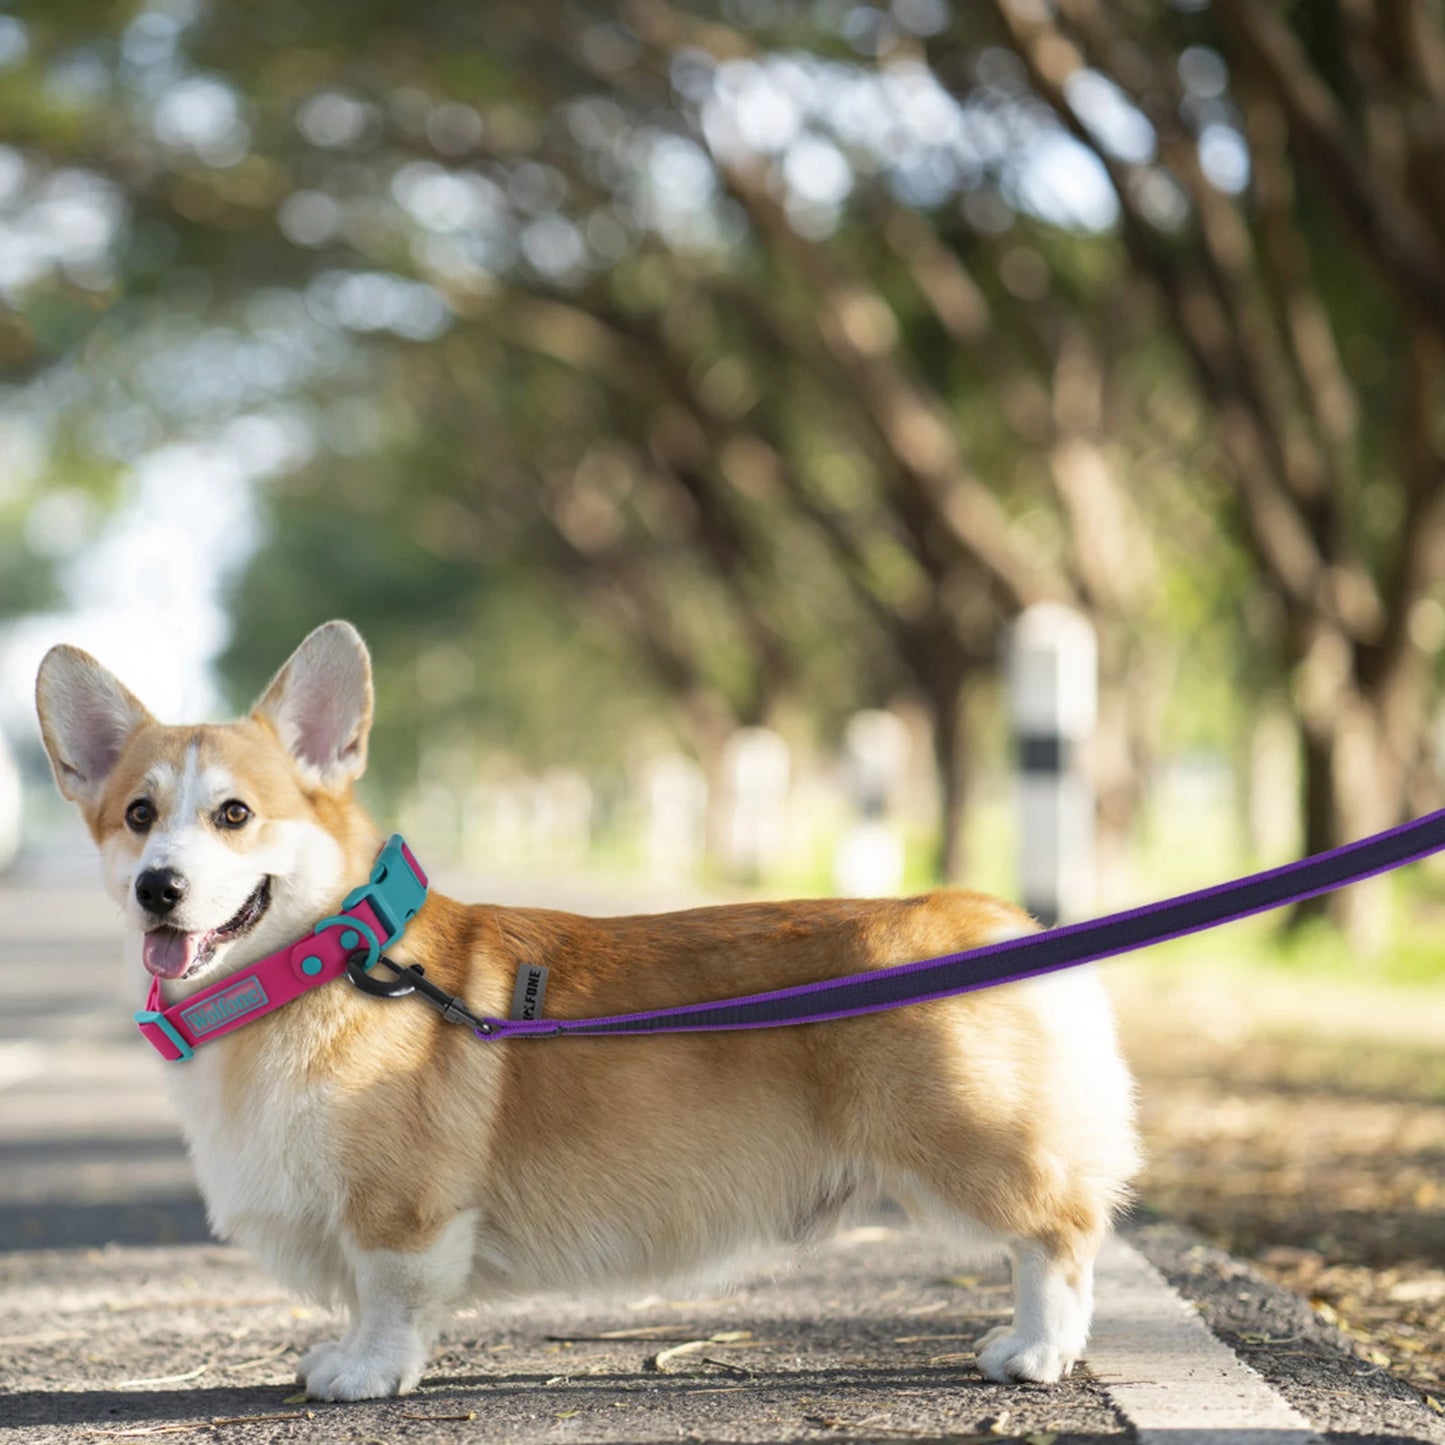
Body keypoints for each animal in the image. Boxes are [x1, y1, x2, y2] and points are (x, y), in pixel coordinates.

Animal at [36, 621, 1138, 1398]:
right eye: (138, 815)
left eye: (234, 814)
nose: (160, 889)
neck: (321, 965)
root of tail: (997, 916)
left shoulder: (399, 1211)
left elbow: (390, 1295)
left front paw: (366, 1373)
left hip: (968, 1147)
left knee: (1060, 1230)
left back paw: (1034, 1350)